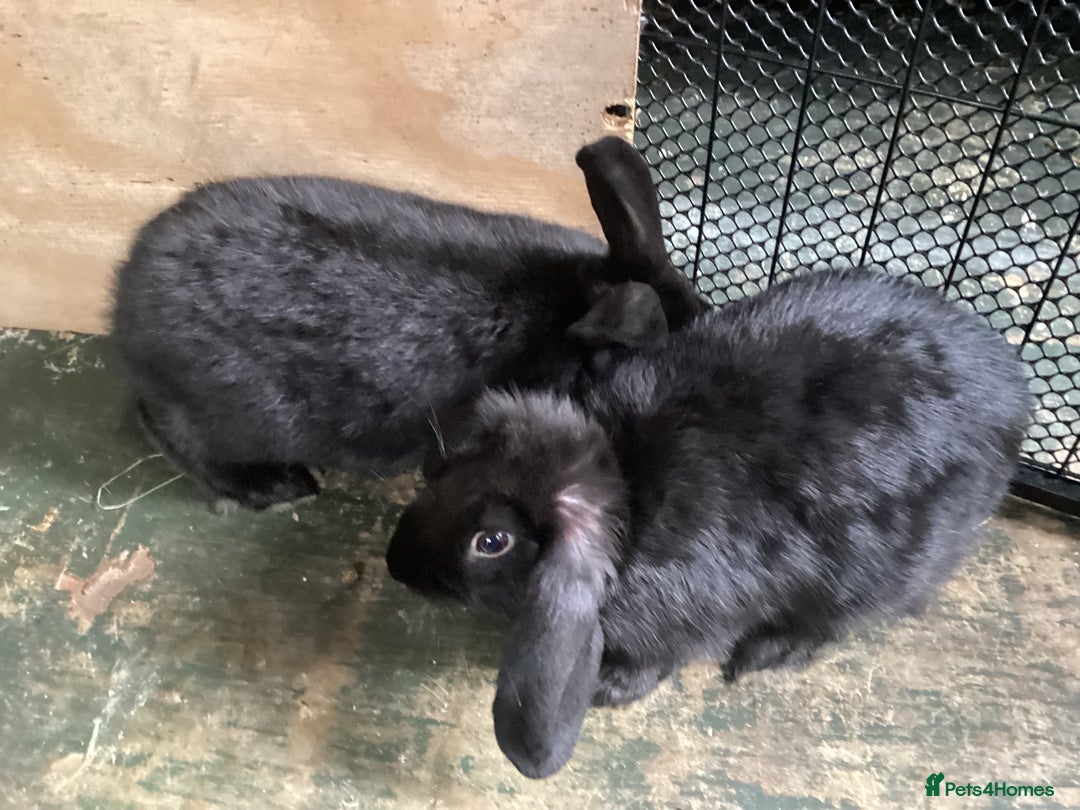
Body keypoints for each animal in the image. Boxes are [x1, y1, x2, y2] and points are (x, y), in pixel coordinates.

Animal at [385, 266, 1032, 779]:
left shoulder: (686, 620)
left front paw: (608, 688)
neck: (630, 498)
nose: (397, 564)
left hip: (882, 571)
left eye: (491, 541)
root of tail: (1014, 394)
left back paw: (770, 653)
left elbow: (659, 661)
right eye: (450, 468)